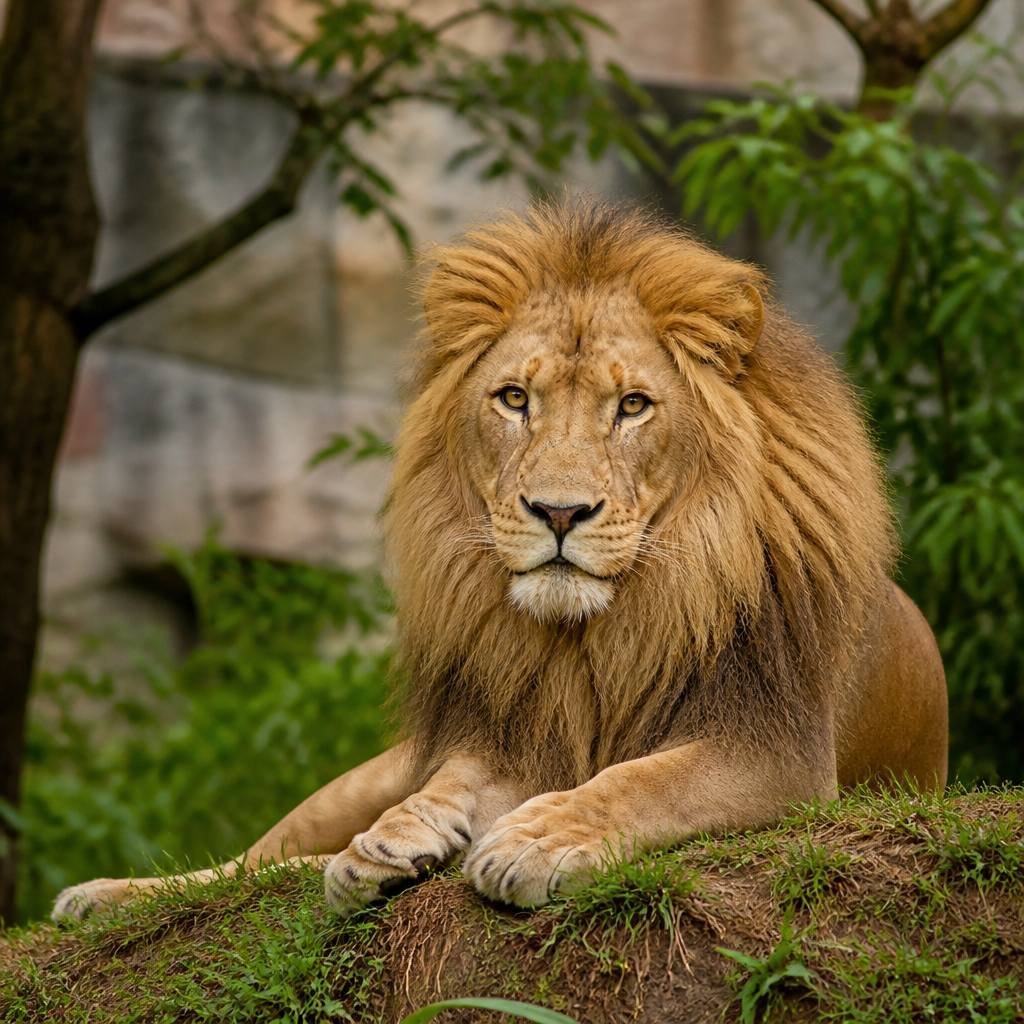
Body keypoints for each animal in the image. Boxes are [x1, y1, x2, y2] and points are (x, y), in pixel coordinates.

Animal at [53, 200, 948, 921]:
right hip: (365, 775)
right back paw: (107, 895)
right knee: (254, 861)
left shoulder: (778, 752)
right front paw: (394, 841)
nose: (559, 512)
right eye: (515, 399)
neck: (603, 633)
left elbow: (643, 780)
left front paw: (538, 839)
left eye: (632, 406)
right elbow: (453, 781)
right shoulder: (511, 736)